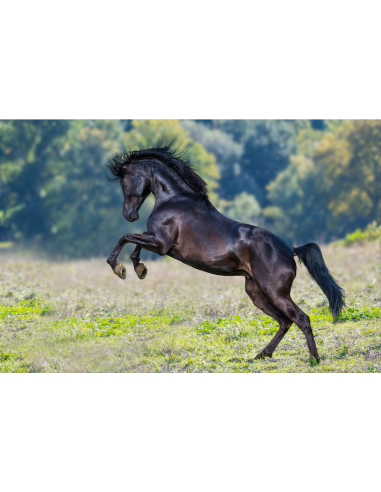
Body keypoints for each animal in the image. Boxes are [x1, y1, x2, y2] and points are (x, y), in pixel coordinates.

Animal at [104, 142, 344, 362]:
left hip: (275, 292)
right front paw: (139, 268)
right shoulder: (155, 239)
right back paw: (261, 355)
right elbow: (135, 242)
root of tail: (290, 249)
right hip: (256, 293)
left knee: (301, 319)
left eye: (124, 181)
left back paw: (313, 359)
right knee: (285, 322)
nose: (129, 214)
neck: (173, 200)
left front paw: (119, 268)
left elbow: (126, 237)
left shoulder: (161, 245)